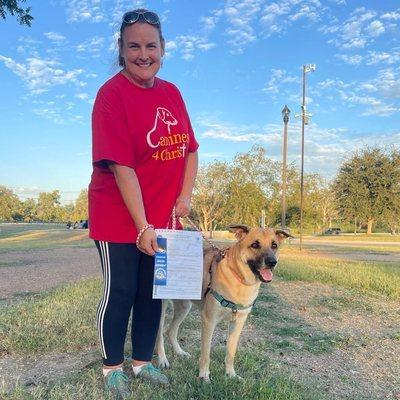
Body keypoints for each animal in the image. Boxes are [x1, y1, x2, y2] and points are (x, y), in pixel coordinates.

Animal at [155, 225, 290, 382]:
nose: (272, 262)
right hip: (161, 308)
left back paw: (179, 352)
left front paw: (231, 374)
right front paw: (204, 376)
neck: (238, 277)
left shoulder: (238, 323)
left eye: (274, 245)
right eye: (255, 245)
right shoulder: (209, 320)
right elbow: (206, 354)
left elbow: (231, 352)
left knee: (170, 331)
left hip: (184, 306)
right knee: (159, 334)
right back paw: (162, 359)